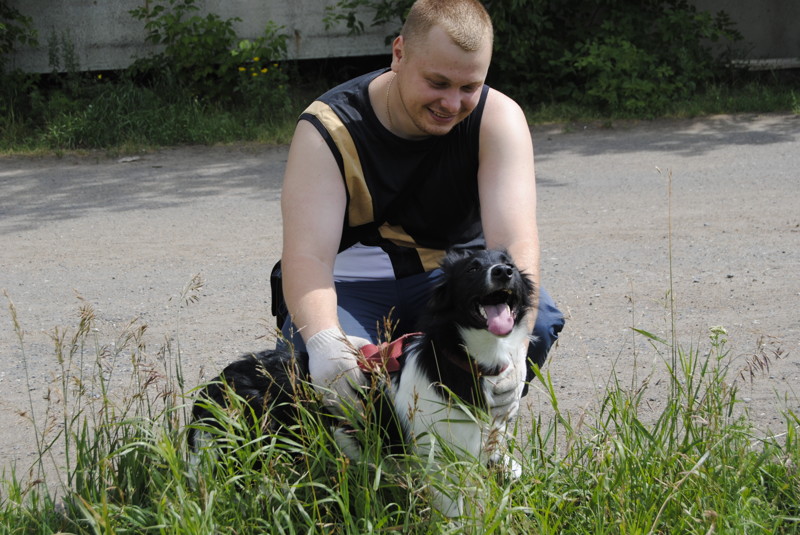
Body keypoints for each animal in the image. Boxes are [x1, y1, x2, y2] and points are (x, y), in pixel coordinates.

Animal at [190, 249, 536, 516]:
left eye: (510, 263)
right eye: (472, 268)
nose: (503, 271)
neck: (466, 362)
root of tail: (220, 380)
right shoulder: (439, 460)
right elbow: (456, 510)